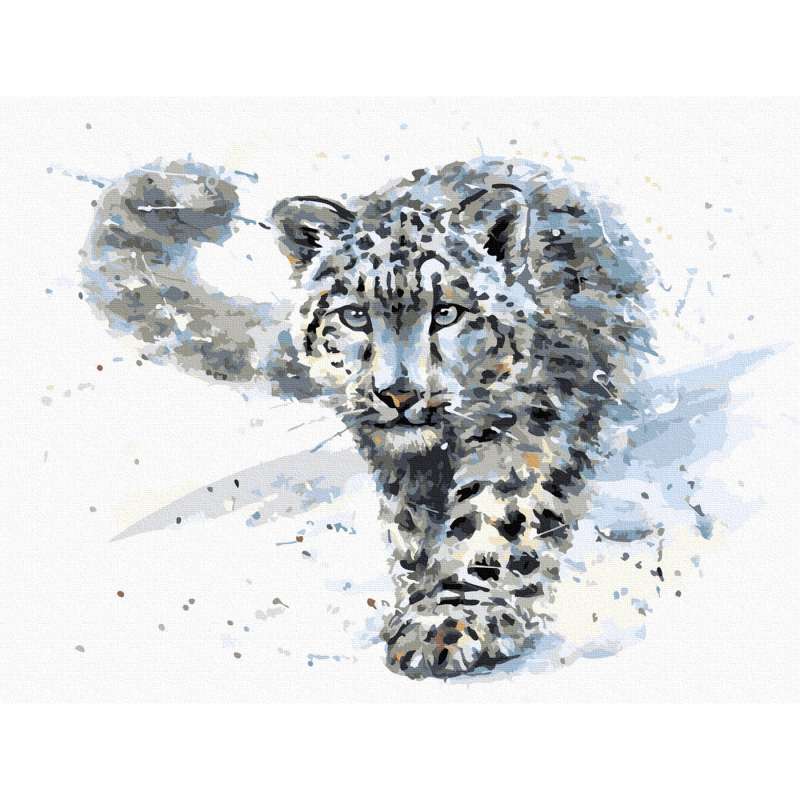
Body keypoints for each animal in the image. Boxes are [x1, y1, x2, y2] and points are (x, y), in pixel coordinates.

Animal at [80, 156, 654, 679]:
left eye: (447, 312)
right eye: (354, 315)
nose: (398, 394)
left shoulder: (526, 431)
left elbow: (492, 523)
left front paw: (448, 622)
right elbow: (417, 530)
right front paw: (421, 601)